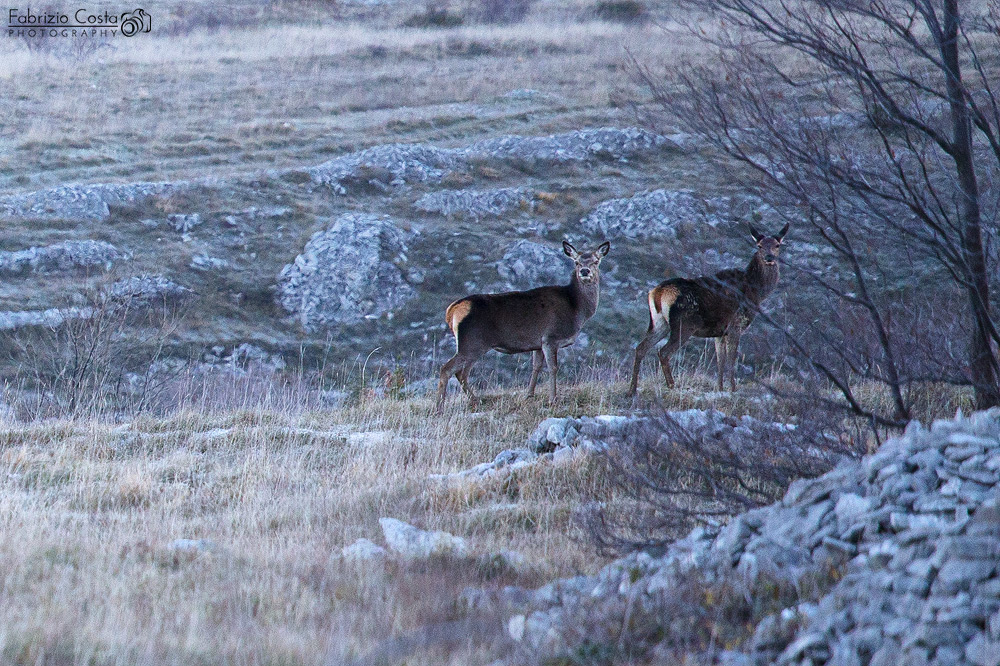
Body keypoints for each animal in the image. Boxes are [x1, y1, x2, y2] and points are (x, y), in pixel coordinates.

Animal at [436, 241, 608, 412]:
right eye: (576, 262)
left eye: (595, 261)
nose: (584, 271)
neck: (576, 308)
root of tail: (452, 310)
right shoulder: (551, 338)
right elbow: (553, 368)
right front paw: (553, 399)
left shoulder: (538, 343)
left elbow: (536, 366)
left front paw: (529, 395)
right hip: (473, 343)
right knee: (448, 369)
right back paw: (441, 407)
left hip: (472, 345)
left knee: (461, 373)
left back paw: (473, 401)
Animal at [624, 220, 788, 396]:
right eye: (759, 245)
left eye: (777, 245)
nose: (769, 257)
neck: (756, 291)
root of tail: (658, 292)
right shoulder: (736, 324)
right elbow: (731, 360)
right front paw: (733, 389)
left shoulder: (720, 332)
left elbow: (720, 361)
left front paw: (720, 388)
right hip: (684, 324)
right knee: (664, 352)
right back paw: (672, 385)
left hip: (659, 323)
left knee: (641, 348)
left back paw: (632, 390)